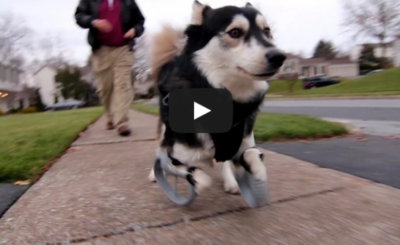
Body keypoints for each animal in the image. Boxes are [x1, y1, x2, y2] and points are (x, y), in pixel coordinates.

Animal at [148, 0, 286, 195]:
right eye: (235, 32)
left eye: (267, 31)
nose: (279, 57)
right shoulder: (174, 155)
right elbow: (200, 177)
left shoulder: (242, 142)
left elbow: (250, 157)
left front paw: (252, 170)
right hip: (164, 129)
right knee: (158, 149)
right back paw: (154, 173)